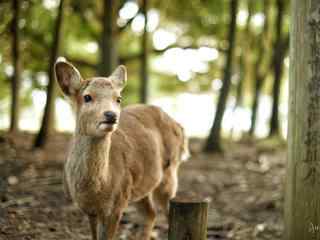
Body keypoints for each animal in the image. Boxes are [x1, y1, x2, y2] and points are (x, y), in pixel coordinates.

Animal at [54, 58, 190, 240]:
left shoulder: (117, 204)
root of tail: (180, 127)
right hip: (141, 183)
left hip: (170, 172)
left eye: (118, 98)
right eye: (87, 97)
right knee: (150, 213)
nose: (111, 115)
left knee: (168, 210)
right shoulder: (89, 210)